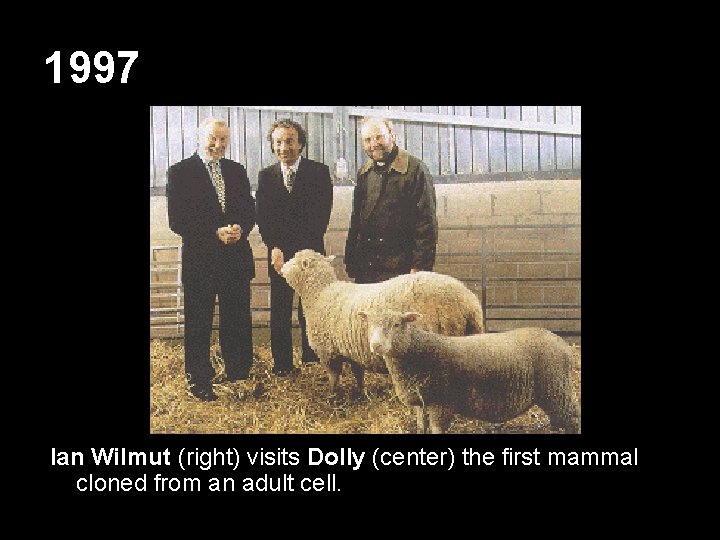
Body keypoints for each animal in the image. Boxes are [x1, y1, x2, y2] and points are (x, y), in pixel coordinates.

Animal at [280, 250, 484, 400]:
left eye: (295, 261)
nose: (280, 268)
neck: (320, 293)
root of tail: (469, 301)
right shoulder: (354, 350)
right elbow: (358, 373)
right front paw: (361, 392)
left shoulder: (328, 351)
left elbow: (334, 377)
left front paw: (332, 395)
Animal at [360, 308, 580, 434]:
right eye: (369, 325)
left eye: (397, 324)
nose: (375, 345)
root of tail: (562, 344)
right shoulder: (421, 399)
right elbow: (421, 426)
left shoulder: (442, 401)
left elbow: (437, 429)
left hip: (557, 388)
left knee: (572, 418)